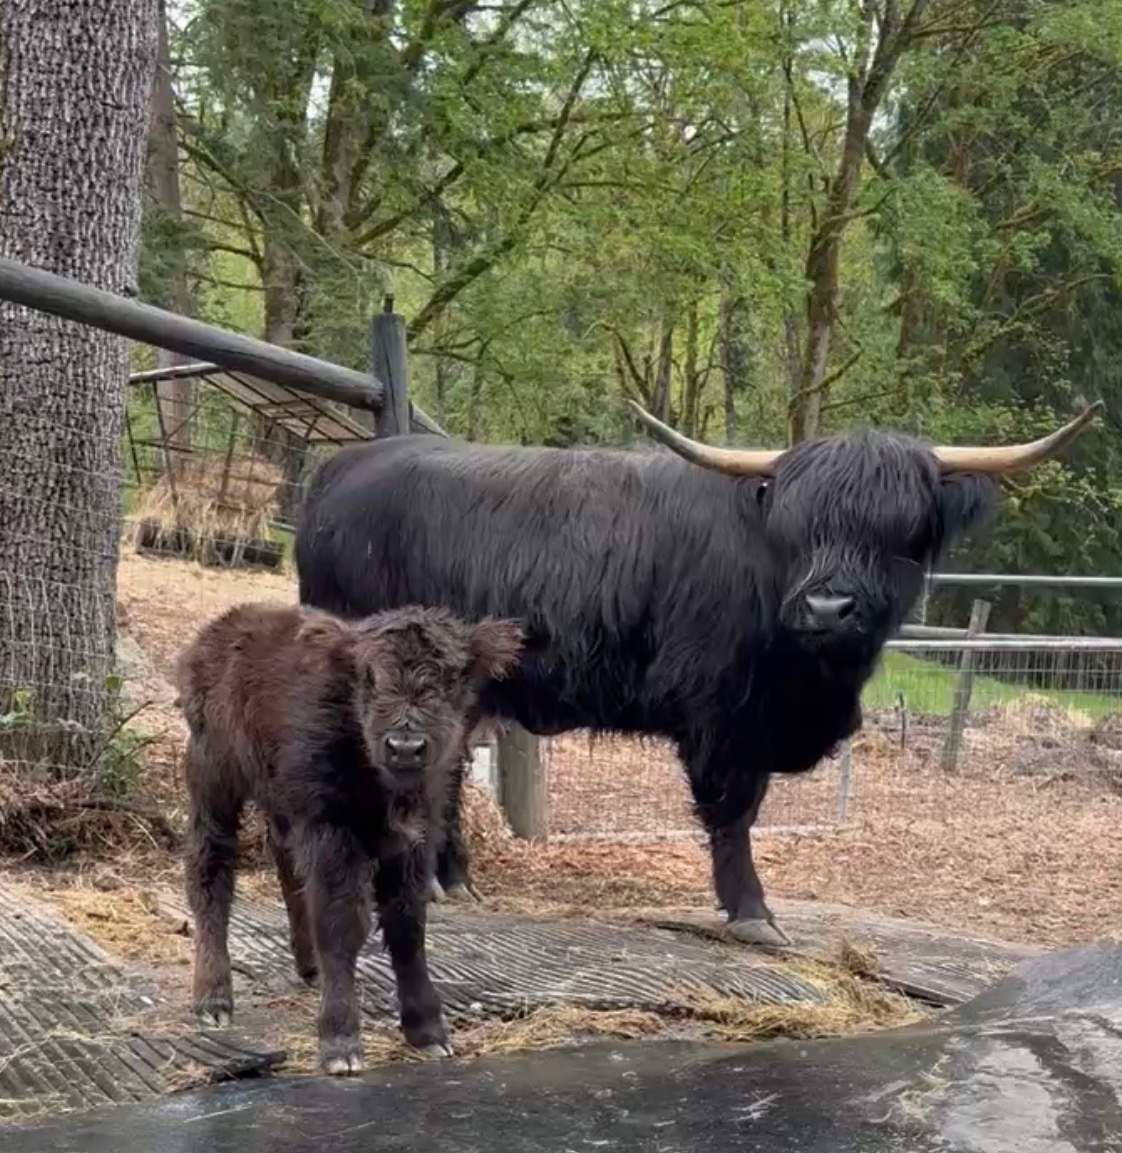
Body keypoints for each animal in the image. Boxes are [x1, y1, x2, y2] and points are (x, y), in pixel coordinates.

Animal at [175, 601, 523, 1074]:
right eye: (369, 676)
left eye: (449, 678)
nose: (405, 746)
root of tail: (225, 623)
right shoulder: (331, 833)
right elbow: (340, 922)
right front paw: (340, 1044)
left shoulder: (414, 842)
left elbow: (406, 924)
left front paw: (428, 1031)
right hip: (212, 782)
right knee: (210, 868)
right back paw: (213, 1000)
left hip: (280, 804)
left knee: (285, 866)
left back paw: (307, 966)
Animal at [293, 400, 1101, 945]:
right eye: (797, 529)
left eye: (900, 533)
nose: (827, 605)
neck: (815, 683)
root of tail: (342, 467)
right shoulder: (722, 713)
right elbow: (732, 814)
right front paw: (752, 912)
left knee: (446, 771)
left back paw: (452, 880)